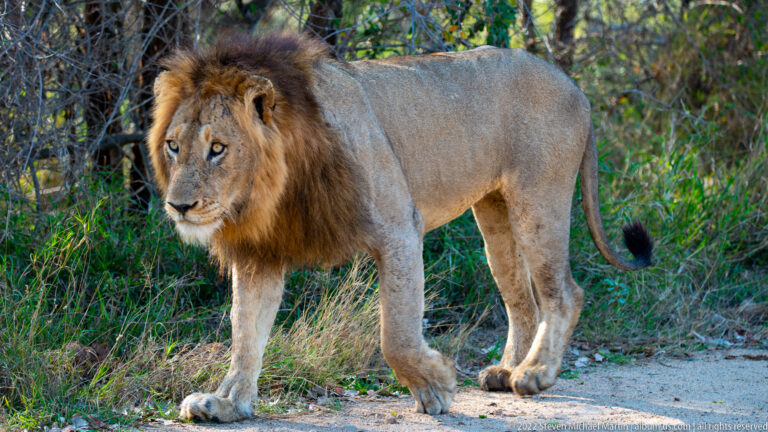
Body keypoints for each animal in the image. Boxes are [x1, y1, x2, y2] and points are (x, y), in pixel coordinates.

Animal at [148, 33, 653, 422]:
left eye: (218, 148)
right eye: (173, 146)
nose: (179, 206)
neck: (279, 183)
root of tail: (574, 85)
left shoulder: (398, 227)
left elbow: (396, 334)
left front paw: (436, 387)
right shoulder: (262, 250)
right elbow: (245, 333)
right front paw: (226, 403)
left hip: (539, 200)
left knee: (563, 291)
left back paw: (534, 374)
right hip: (494, 214)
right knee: (521, 299)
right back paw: (505, 371)